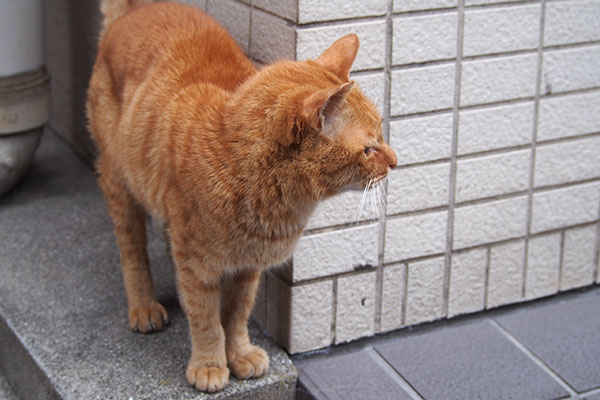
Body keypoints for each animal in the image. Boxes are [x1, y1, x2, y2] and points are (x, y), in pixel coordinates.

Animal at [86, 0, 398, 394]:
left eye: (383, 136)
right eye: (370, 149)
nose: (396, 161)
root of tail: (140, 9)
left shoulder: (249, 268)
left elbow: (236, 315)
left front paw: (239, 354)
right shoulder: (196, 266)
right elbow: (205, 317)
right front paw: (209, 364)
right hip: (119, 182)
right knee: (132, 250)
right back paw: (144, 306)